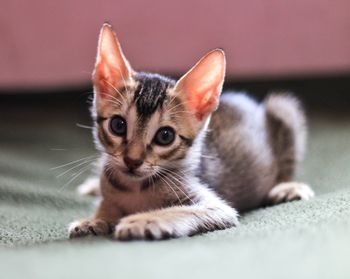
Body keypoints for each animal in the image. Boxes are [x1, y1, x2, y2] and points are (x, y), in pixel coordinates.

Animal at [67, 23, 314, 241]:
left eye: (165, 136)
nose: (132, 161)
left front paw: (142, 220)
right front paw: (95, 219)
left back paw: (287, 187)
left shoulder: (217, 207)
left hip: (283, 107)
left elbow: (179, 210)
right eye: (118, 125)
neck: (134, 187)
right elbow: (107, 203)